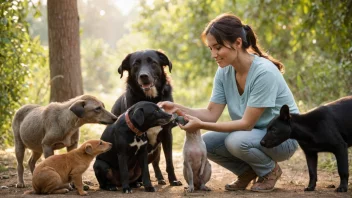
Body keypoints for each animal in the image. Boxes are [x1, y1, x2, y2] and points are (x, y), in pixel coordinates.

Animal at [110, 49, 182, 186]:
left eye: (153, 62)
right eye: (135, 64)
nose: (143, 76)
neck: (149, 98)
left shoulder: (167, 133)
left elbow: (169, 160)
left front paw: (173, 180)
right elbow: (144, 166)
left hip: (157, 149)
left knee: (155, 163)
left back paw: (159, 178)